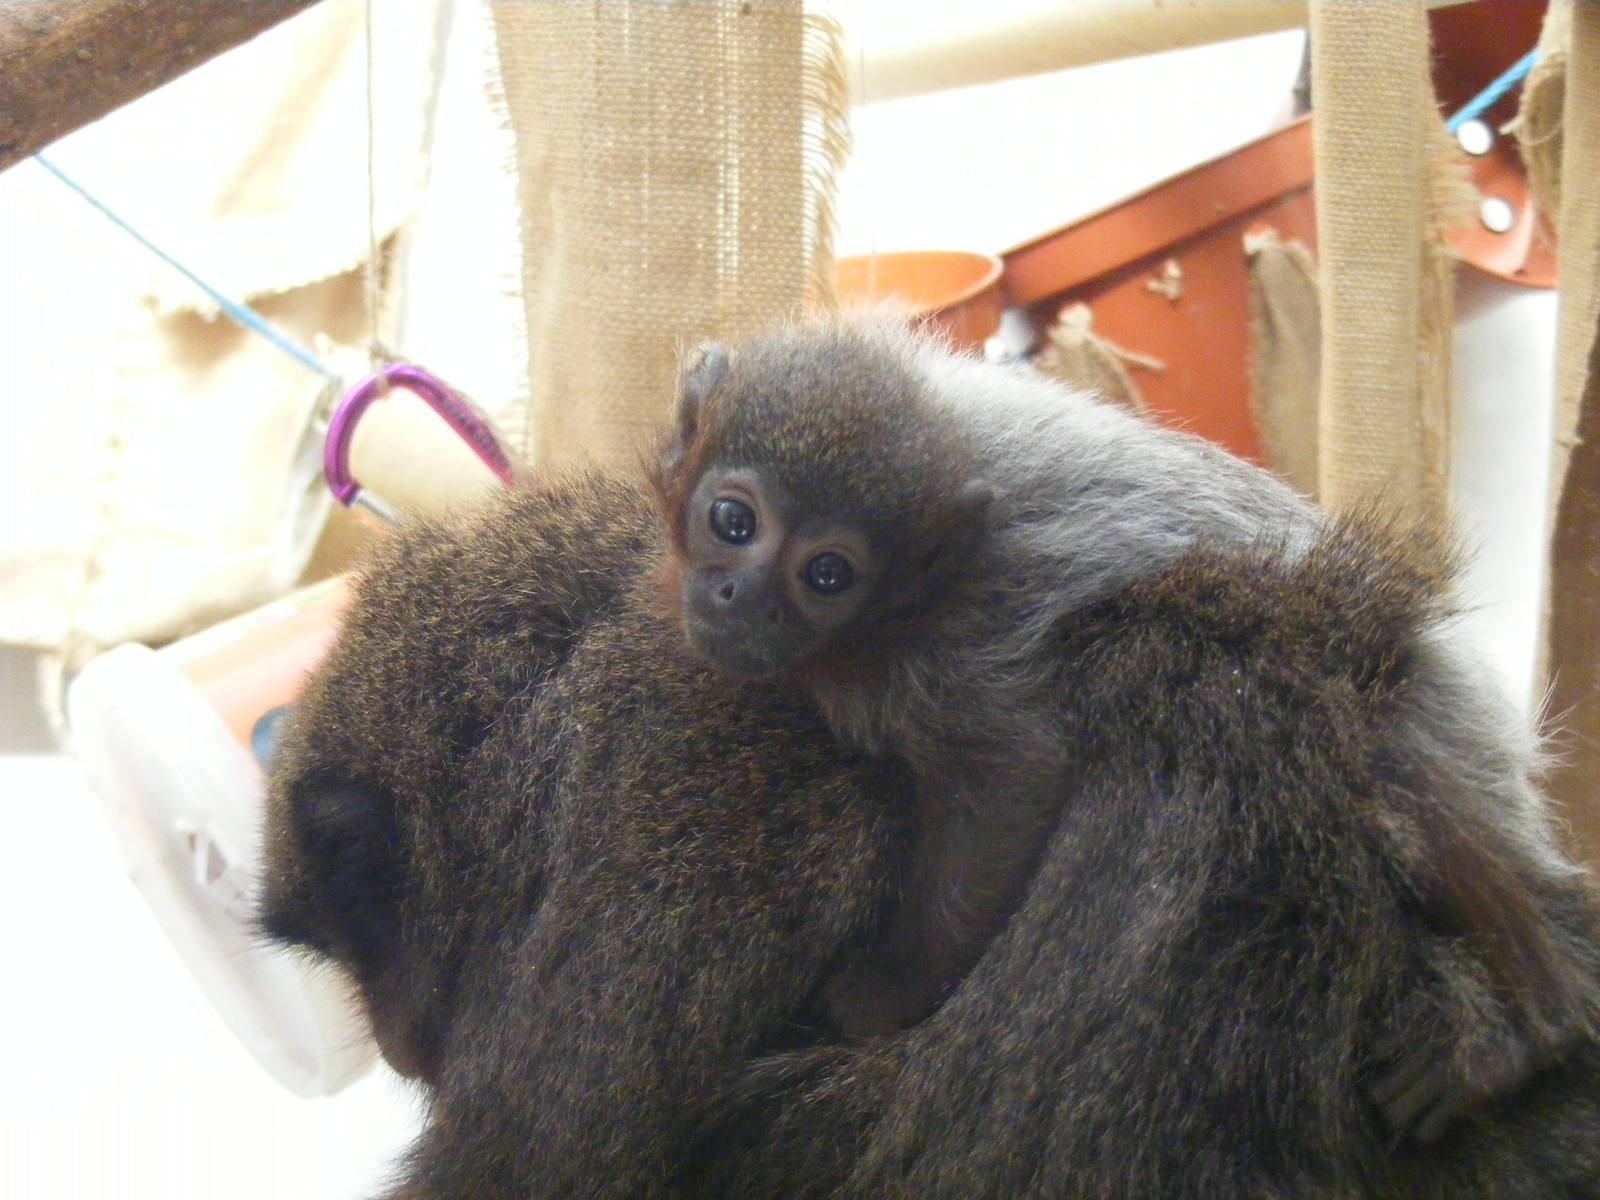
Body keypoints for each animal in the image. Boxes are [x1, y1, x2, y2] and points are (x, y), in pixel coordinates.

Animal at [651, 317, 1600, 1145]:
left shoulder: (967, 645)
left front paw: (878, 1002)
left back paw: (1533, 1012)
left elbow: (1016, 785)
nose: (744, 597)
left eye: (826, 574)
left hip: (1436, 710)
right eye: (732, 522)